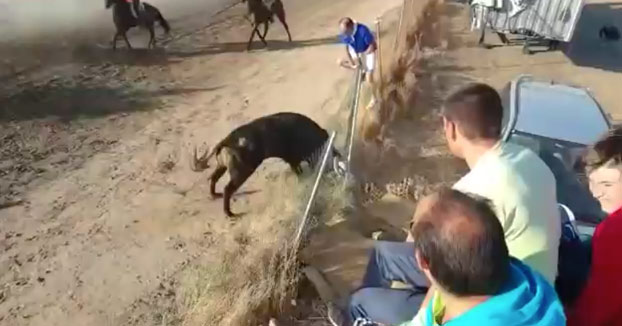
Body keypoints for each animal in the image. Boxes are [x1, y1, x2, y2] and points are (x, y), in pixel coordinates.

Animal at [193, 112, 344, 219]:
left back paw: (214, 195)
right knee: (227, 189)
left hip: (222, 166)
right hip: (242, 171)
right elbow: (298, 171)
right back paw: (229, 213)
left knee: (214, 178)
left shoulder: (292, 160)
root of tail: (227, 139)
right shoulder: (294, 159)